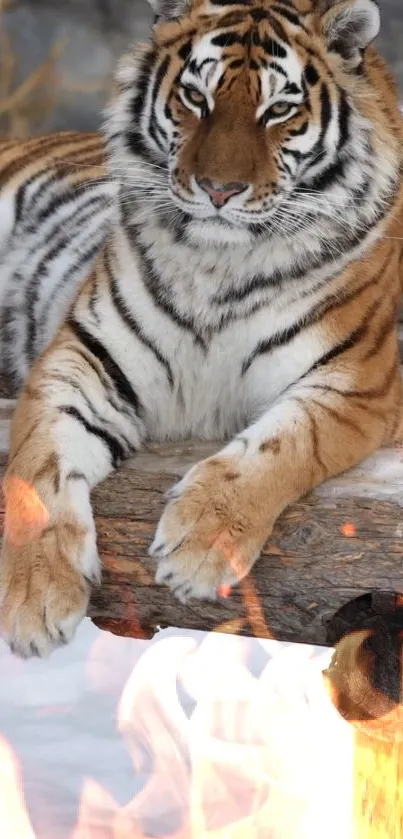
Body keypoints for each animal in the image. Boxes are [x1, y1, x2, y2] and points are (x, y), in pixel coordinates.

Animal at [0, 0, 403, 660]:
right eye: (195, 97)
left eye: (279, 110)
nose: (219, 190)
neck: (219, 265)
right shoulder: (84, 356)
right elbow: (38, 466)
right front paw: (34, 601)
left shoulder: (357, 382)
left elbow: (282, 445)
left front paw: (200, 545)